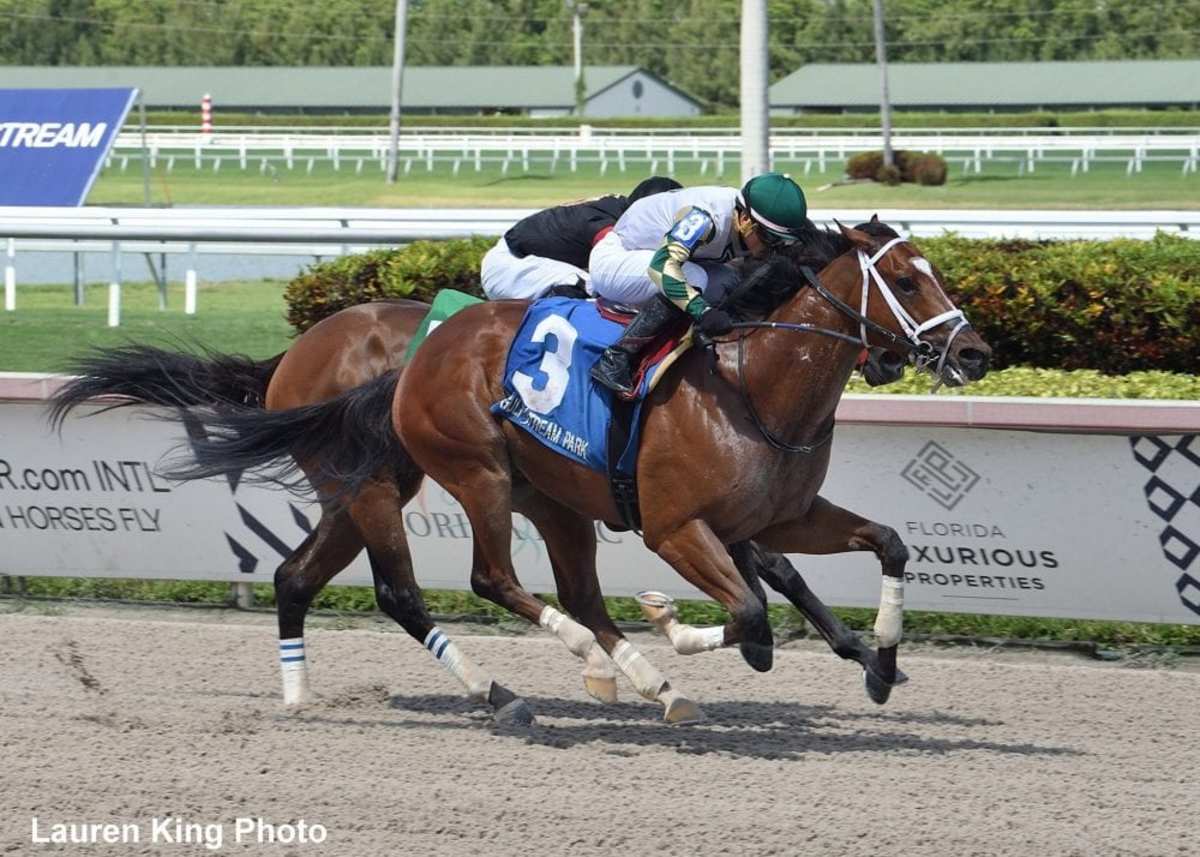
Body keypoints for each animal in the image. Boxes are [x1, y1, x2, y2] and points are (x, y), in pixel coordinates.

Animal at [166, 220, 993, 720]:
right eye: (907, 281)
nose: (975, 351)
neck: (751, 383)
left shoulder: (784, 513)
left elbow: (882, 544)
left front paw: (880, 660)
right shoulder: (675, 526)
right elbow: (752, 613)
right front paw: (673, 622)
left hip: (501, 495)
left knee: (300, 576)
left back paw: (301, 692)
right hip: (451, 476)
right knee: (457, 583)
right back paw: (512, 685)